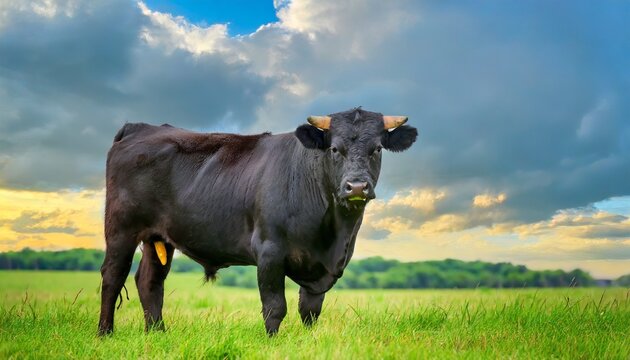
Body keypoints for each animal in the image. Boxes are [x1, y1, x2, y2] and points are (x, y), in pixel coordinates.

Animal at [99, 108, 420, 336]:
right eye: (334, 149)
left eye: (377, 149)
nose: (356, 187)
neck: (333, 233)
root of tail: (141, 127)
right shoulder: (269, 250)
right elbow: (275, 306)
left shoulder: (323, 266)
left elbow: (310, 310)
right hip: (120, 229)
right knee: (113, 276)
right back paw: (105, 333)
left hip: (158, 238)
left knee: (149, 281)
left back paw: (157, 332)